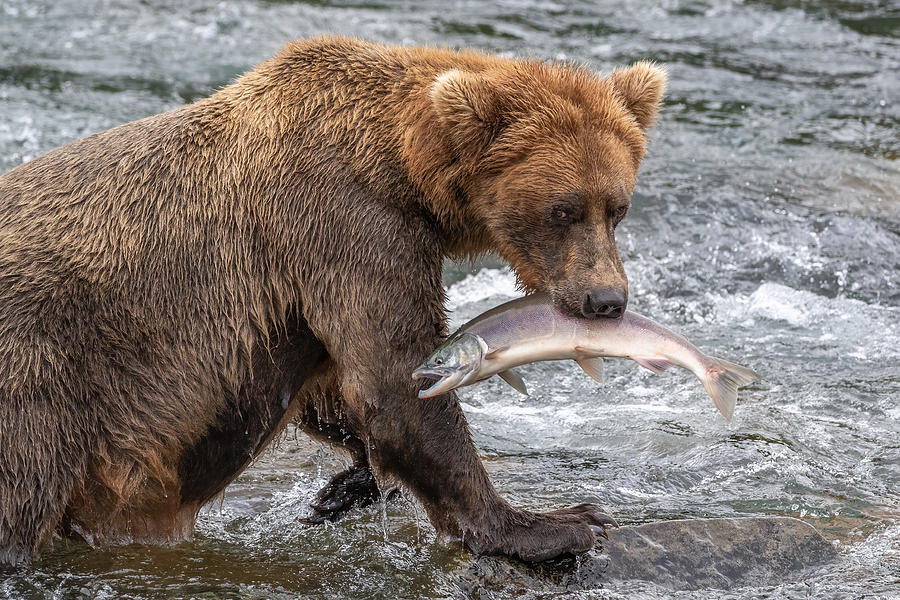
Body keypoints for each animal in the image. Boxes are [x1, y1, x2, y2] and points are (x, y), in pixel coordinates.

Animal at [0, 35, 660, 564]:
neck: (405, 169)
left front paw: (342, 490)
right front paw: (559, 523)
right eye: (563, 210)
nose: (607, 299)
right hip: (42, 373)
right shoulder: (346, 225)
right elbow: (397, 380)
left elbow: (342, 388)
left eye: (618, 206)